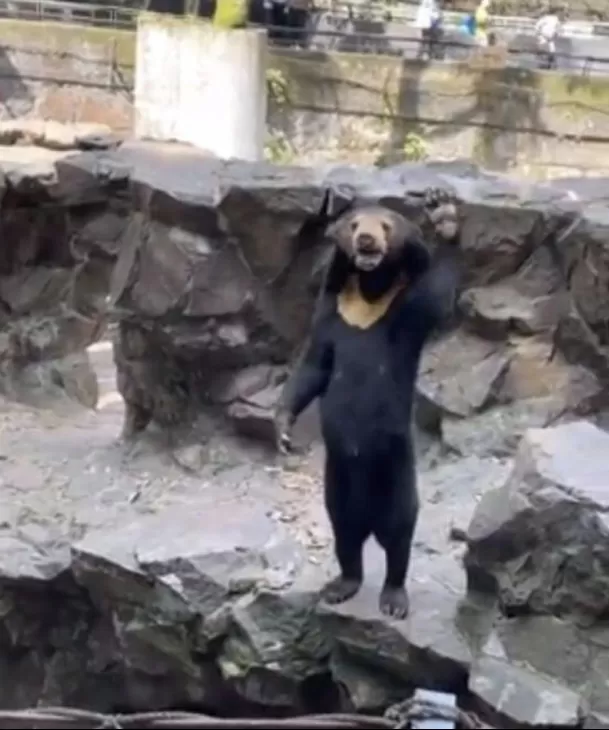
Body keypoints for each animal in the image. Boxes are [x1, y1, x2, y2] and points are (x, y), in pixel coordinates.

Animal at [274, 188, 462, 619]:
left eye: (387, 226)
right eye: (355, 223)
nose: (366, 241)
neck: (369, 295)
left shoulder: (406, 312)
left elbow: (439, 295)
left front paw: (444, 213)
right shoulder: (332, 309)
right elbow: (315, 365)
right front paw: (282, 431)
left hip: (395, 473)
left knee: (399, 534)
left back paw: (393, 599)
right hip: (337, 484)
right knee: (345, 534)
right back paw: (340, 586)